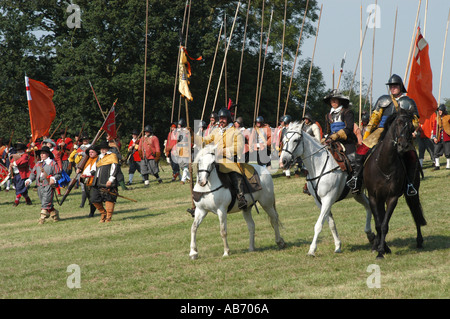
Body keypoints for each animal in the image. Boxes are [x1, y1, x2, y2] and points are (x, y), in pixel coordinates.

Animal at [280, 122, 374, 258]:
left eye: (296, 140)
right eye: (283, 140)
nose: (283, 161)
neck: (318, 165)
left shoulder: (328, 199)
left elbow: (318, 225)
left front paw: (312, 250)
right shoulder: (320, 202)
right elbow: (331, 223)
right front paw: (338, 246)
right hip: (358, 194)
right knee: (368, 206)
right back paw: (370, 234)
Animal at [364, 110, 428, 260]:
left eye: (411, 126)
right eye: (398, 123)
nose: (403, 146)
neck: (384, 165)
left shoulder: (392, 198)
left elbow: (384, 225)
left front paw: (381, 251)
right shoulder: (374, 197)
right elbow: (378, 224)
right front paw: (380, 248)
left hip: (412, 193)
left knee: (415, 213)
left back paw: (419, 241)